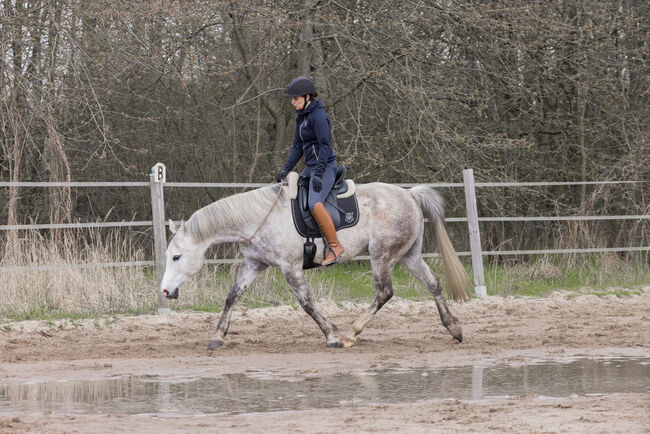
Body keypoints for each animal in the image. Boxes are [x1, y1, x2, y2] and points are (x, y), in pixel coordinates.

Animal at [159, 180, 468, 350]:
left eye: (176, 257)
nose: (164, 291)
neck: (258, 217)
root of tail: (409, 195)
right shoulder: (254, 264)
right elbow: (232, 297)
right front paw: (217, 337)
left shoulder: (290, 267)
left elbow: (306, 303)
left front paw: (331, 335)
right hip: (408, 255)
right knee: (433, 283)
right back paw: (453, 327)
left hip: (382, 256)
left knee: (384, 292)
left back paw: (351, 334)